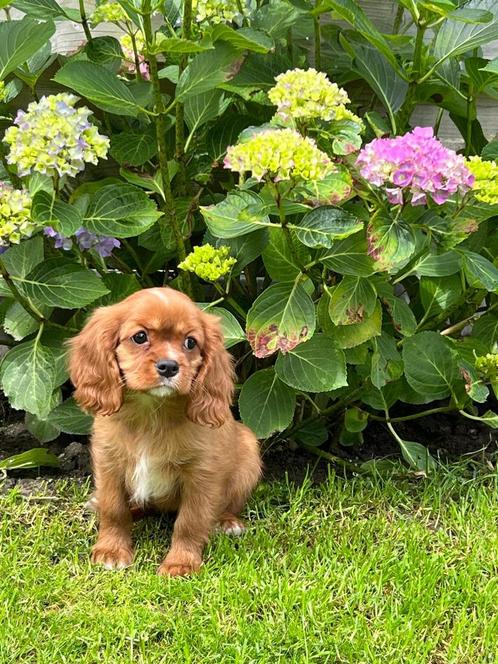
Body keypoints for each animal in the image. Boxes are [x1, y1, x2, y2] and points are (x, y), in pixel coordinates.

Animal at [68, 286, 262, 576]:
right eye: (140, 337)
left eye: (190, 343)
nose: (169, 366)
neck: (151, 411)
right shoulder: (109, 463)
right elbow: (114, 509)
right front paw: (111, 551)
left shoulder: (201, 475)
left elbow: (190, 521)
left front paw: (181, 563)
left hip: (249, 452)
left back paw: (228, 523)